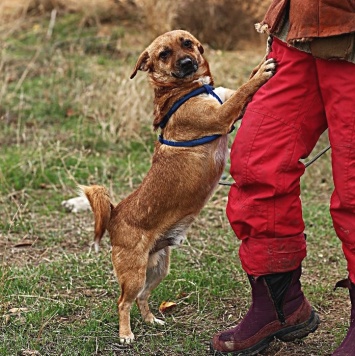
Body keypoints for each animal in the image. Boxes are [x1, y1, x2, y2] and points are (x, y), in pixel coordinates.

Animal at [80, 29, 276, 342]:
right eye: (164, 54)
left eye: (187, 43)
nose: (186, 62)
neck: (187, 89)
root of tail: (114, 212)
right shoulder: (222, 116)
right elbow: (245, 90)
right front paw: (261, 75)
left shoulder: (225, 102)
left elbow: (241, 86)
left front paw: (263, 58)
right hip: (134, 274)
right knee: (123, 302)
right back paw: (126, 334)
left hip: (159, 268)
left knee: (142, 297)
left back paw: (151, 321)